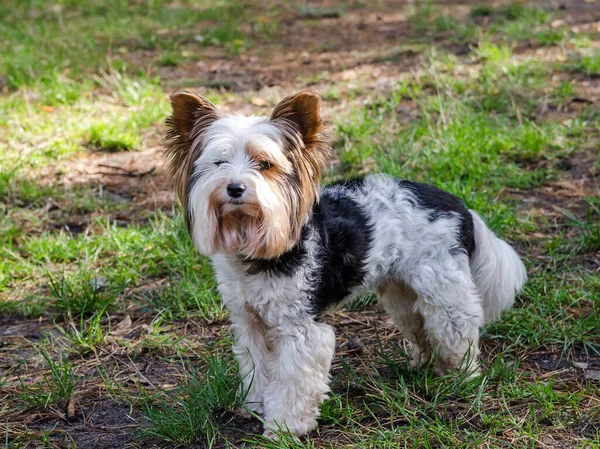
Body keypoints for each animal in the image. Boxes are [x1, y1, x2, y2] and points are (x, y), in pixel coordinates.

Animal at [163, 89, 524, 436]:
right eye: (218, 162)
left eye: (265, 164)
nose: (235, 187)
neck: (260, 243)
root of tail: (459, 206)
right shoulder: (250, 321)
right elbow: (257, 368)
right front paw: (255, 406)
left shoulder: (300, 329)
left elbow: (293, 383)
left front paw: (284, 427)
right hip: (402, 293)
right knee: (421, 327)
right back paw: (422, 365)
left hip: (442, 291)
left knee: (457, 331)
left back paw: (461, 378)